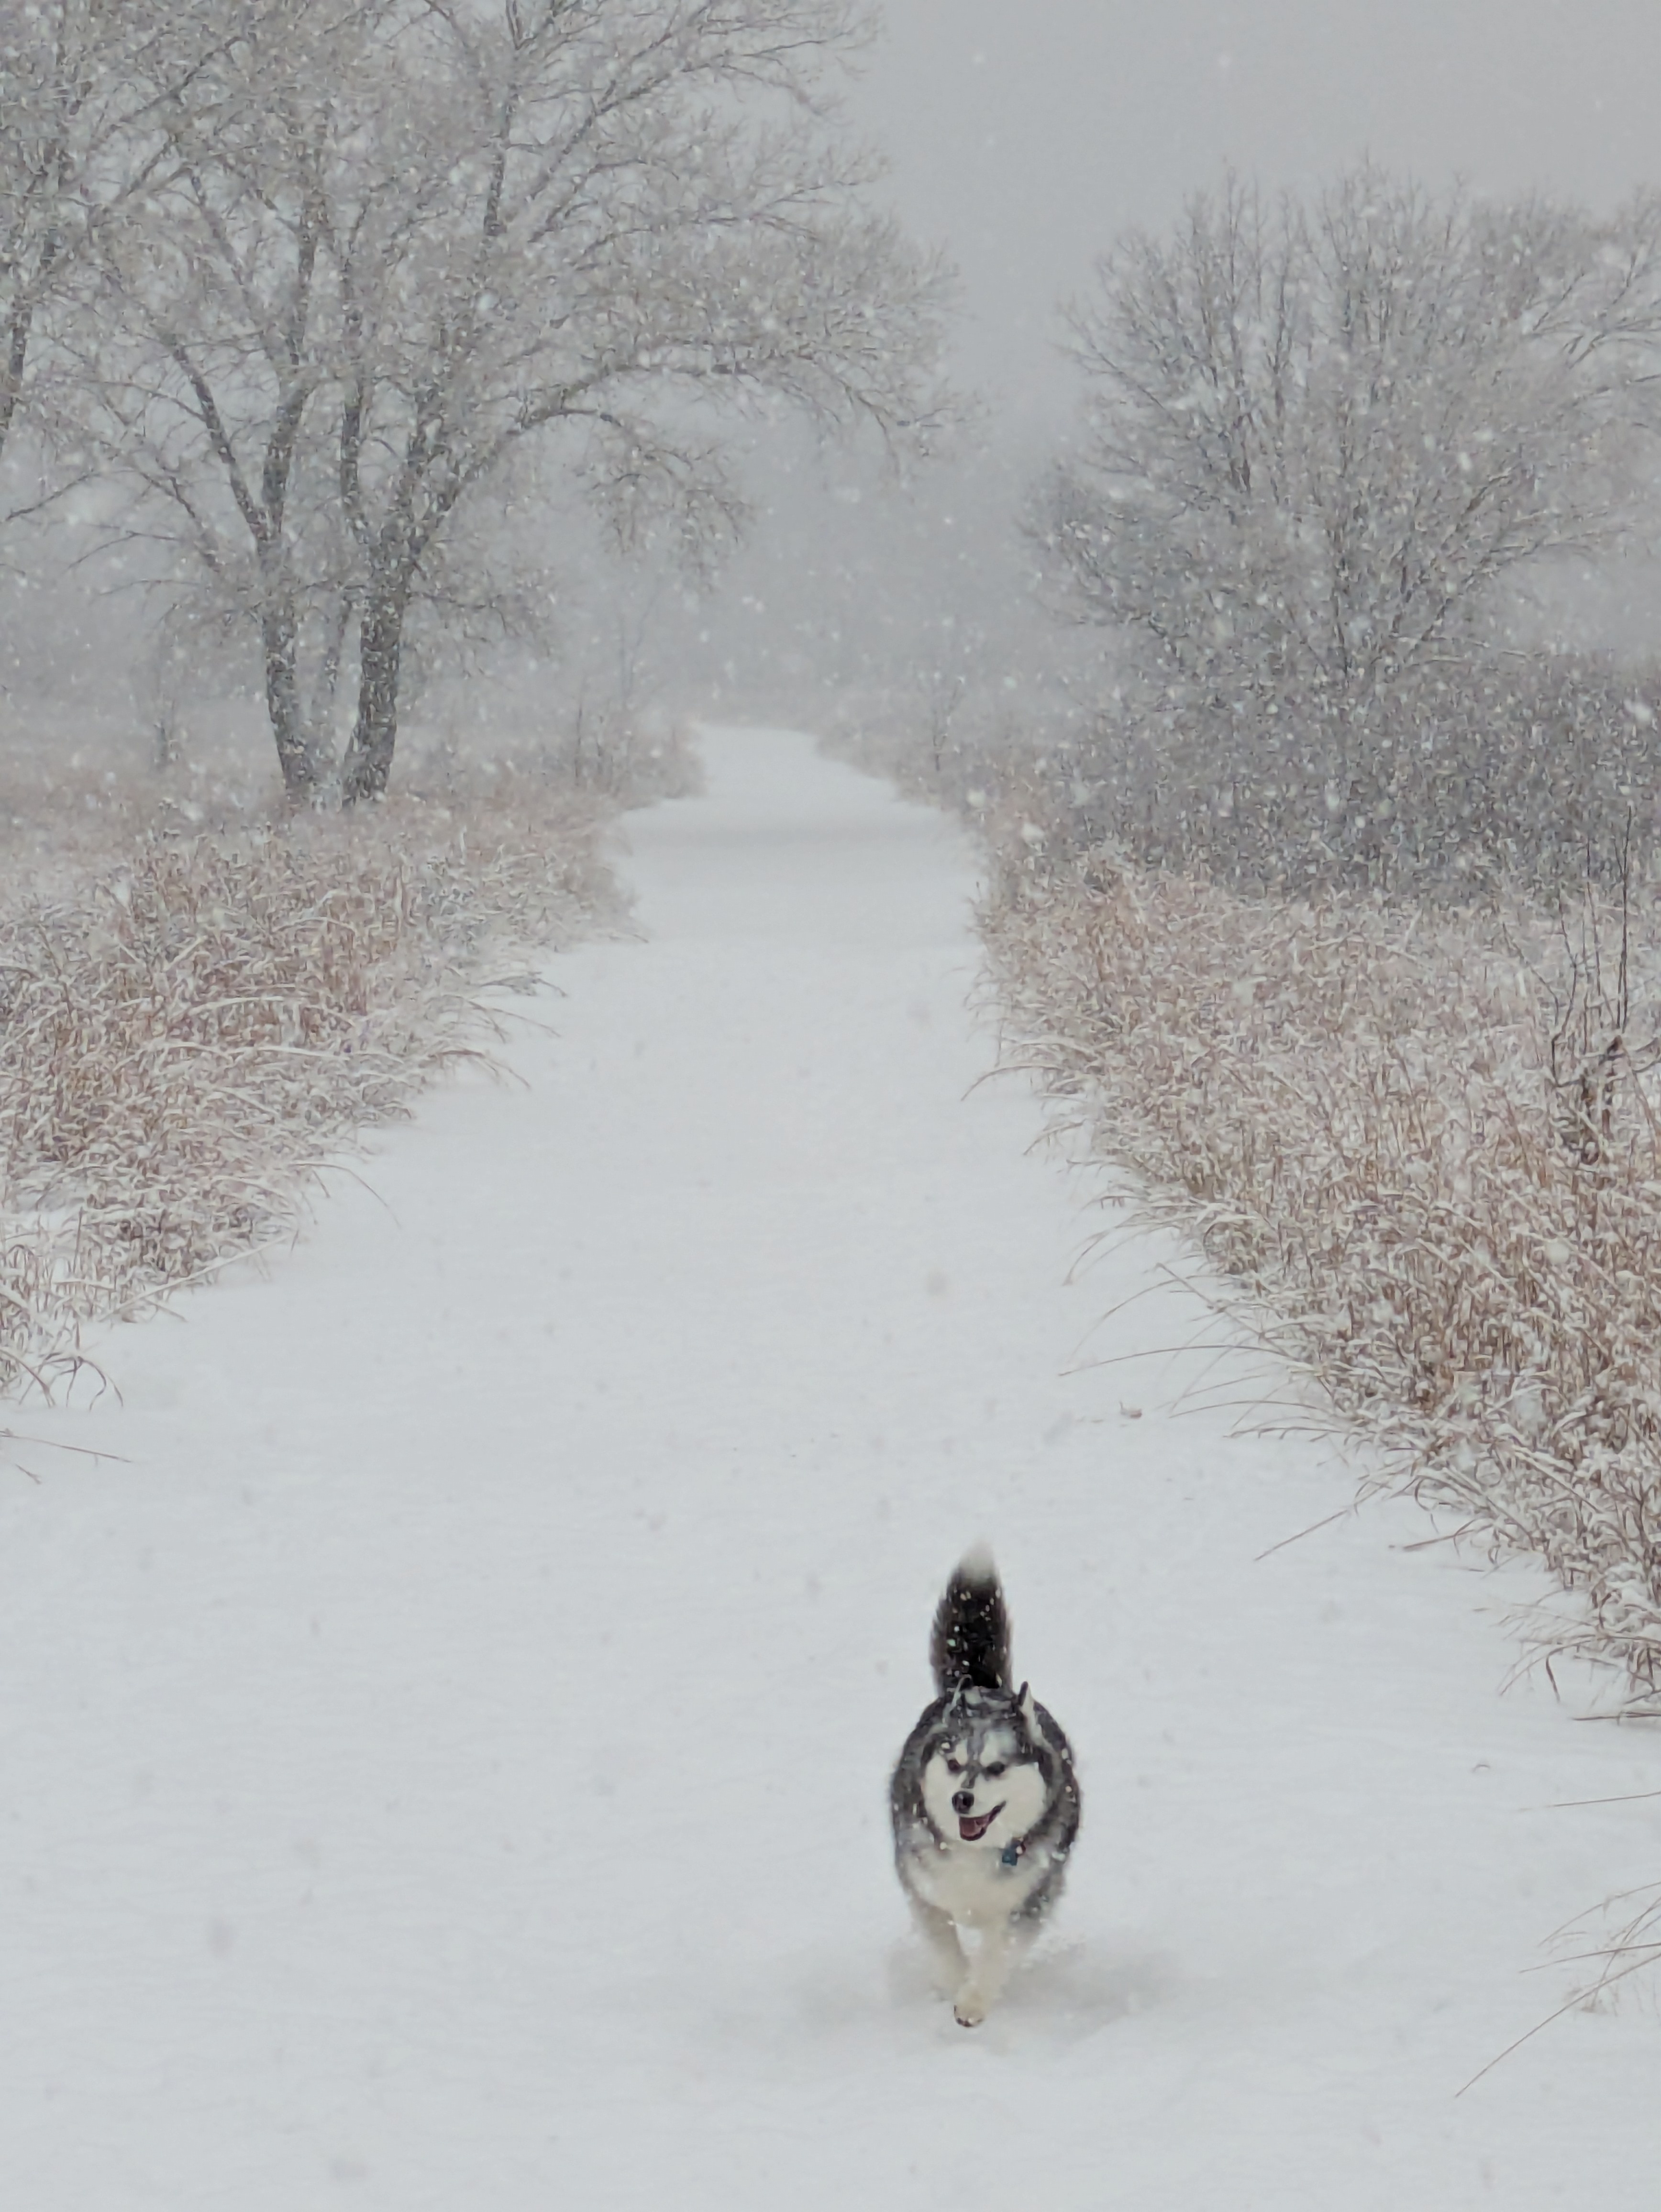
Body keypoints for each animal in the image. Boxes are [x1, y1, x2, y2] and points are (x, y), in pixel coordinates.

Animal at [889, 1548, 1084, 2026]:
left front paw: (974, 2001)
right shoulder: (921, 1886)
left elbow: (1001, 1949)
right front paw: (955, 1981)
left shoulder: (1034, 1897)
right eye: (954, 1763)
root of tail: (983, 1687)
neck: (976, 1853)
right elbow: (942, 1940)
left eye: (997, 1767)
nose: (963, 1799)